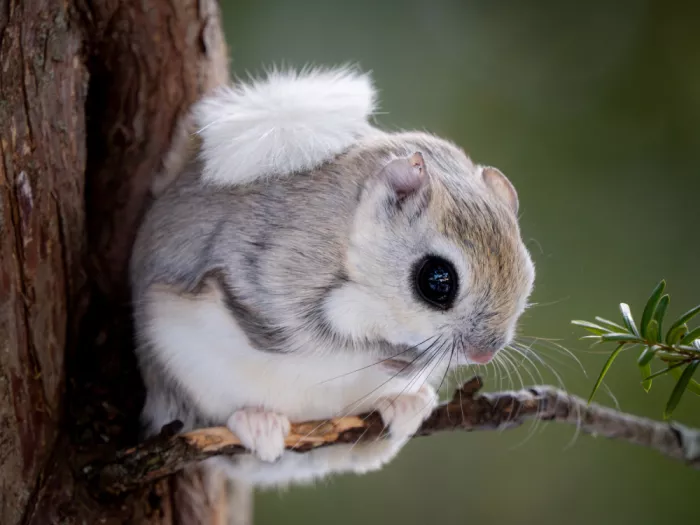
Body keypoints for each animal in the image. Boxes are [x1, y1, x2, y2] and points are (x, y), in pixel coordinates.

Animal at [130, 66, 536, 489]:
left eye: (527, 273)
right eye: (437, 280)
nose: (484, 352)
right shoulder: (269, 275)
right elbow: (326, 341)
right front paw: (395, 357)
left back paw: (404, 403)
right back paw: (256, 423)